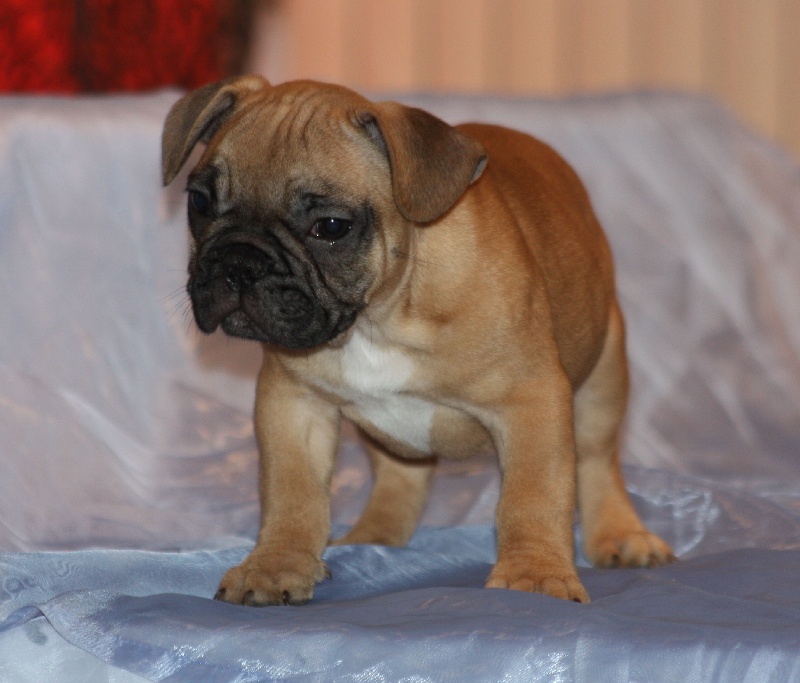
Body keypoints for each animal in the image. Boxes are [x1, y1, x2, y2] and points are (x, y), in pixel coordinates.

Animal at [162, 76, 674, 606]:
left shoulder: (532, 400)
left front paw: (534, 575)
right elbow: (292, 492)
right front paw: (275, 565)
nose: (240, 263)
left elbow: (533, 494)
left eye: (330, 227)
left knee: (596, 461)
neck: (378, 318)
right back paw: (376, 540)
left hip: (603, 374)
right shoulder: (292, 403)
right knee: (400, 477)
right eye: (199, 202)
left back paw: (621, 535)